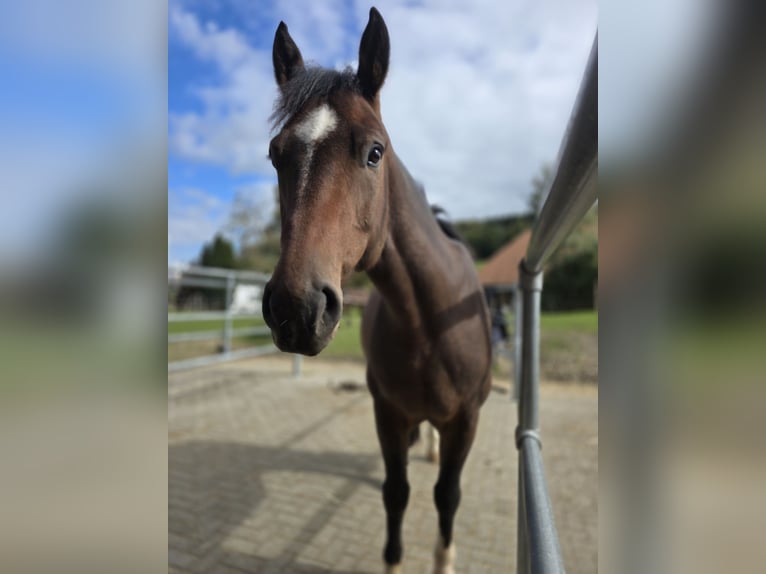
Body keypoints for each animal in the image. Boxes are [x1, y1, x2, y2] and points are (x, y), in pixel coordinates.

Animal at [262, 6, 492, 572]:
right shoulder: (386, 413)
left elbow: (447, 496)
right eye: (276, 155)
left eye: (374, 152)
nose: (296, 308)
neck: (430, 319)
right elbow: (396, 492)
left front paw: (444, 559)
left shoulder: (468, 419)